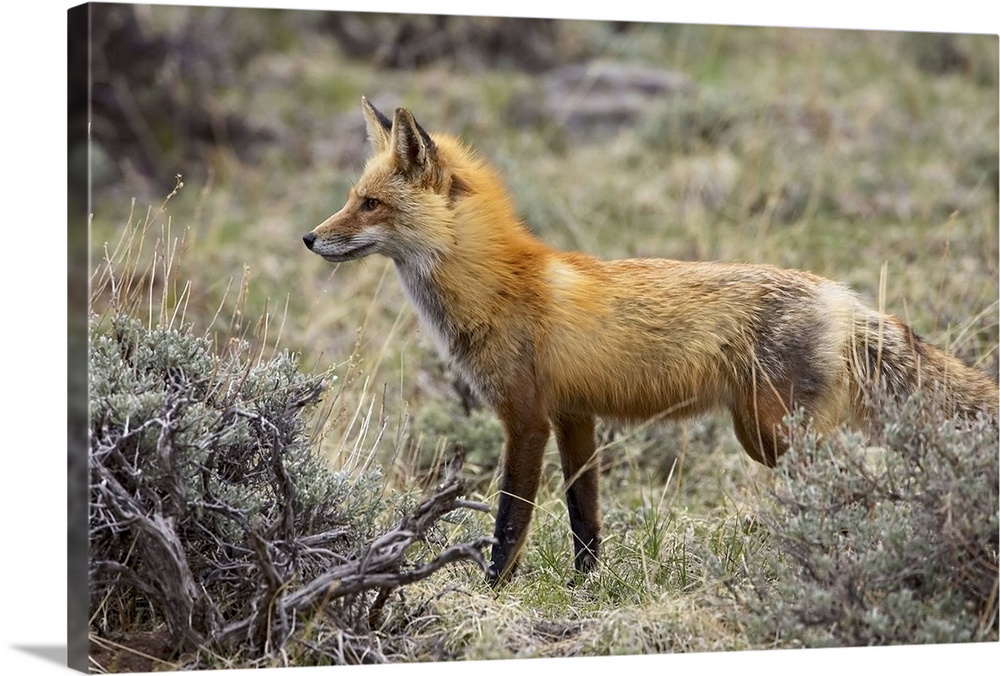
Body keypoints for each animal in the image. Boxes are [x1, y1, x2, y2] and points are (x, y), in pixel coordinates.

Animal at [304, 96, 1000, 588]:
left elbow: (509, 520)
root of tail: (844, 298)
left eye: (369, 204)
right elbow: (584, 514)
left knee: (863, 481)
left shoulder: (524, 418)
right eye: (351, 198)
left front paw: (492, 589)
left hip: (779, 436)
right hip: (762, 434)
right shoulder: (572, 416)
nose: (310, 238)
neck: (499, 284)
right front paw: (587, 587)